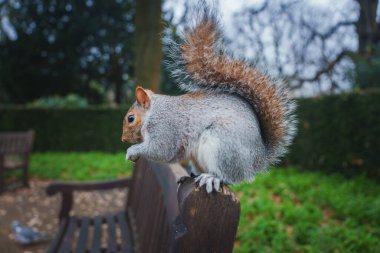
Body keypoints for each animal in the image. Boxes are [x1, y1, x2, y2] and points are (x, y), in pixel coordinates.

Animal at [121, 8, 296, 193]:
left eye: (131, 118)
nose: (123, 140)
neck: (153, 112)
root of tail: (257, 159)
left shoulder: (166, 127)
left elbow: (161, 149)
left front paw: (132, 150)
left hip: (223, 144)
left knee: (229, 177)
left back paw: (212, 178)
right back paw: (190, 176)